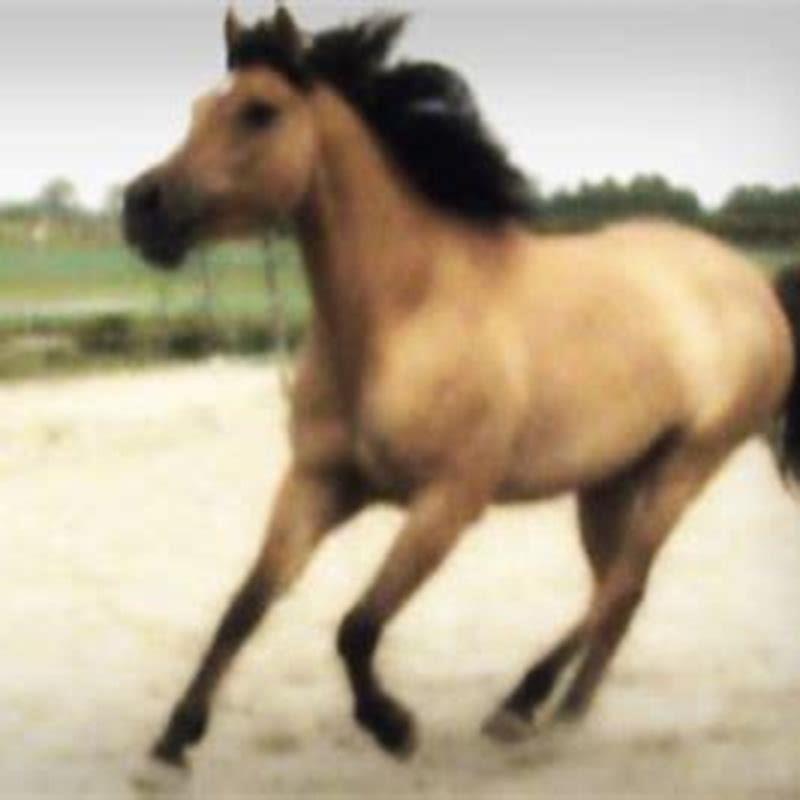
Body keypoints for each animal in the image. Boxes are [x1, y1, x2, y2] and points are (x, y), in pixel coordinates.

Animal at [123, 6, 800, 767]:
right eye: (198, 108)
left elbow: (356, 626)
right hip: (610, 480)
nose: (140, 207)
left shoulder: (447, 501)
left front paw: (392, 725)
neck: (404, 314)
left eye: (259, 112)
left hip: (687, 466)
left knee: (622, 584)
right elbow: (246, 605)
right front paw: (173, 740)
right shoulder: (319, 483)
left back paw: (521, 704)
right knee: (619, 596)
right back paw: (565, 715)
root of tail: (753, 285)